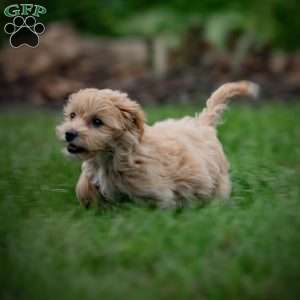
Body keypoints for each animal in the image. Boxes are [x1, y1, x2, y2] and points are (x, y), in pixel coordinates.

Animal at [56, 81, 258, 209]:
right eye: (72, 115)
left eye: (97, 122)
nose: (69, 134)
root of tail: (201, 123)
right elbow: (85, 188)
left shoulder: (154, 190)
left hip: (218, 179)